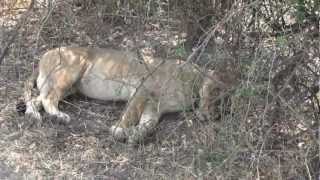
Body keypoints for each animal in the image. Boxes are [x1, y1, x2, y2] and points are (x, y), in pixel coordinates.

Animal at [22, 47, 236, 144]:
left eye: (225, 106)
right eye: (217, 96)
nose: (214, 116)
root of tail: (45, 54)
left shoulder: (155, 106)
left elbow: (148, 124)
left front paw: (135, 135)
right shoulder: (142, 89)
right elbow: (129, 114)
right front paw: (119, 130)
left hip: (69, 87)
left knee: (37, 98)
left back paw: (32, 114)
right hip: (70, 71)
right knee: (48, 98)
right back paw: (59, 117)